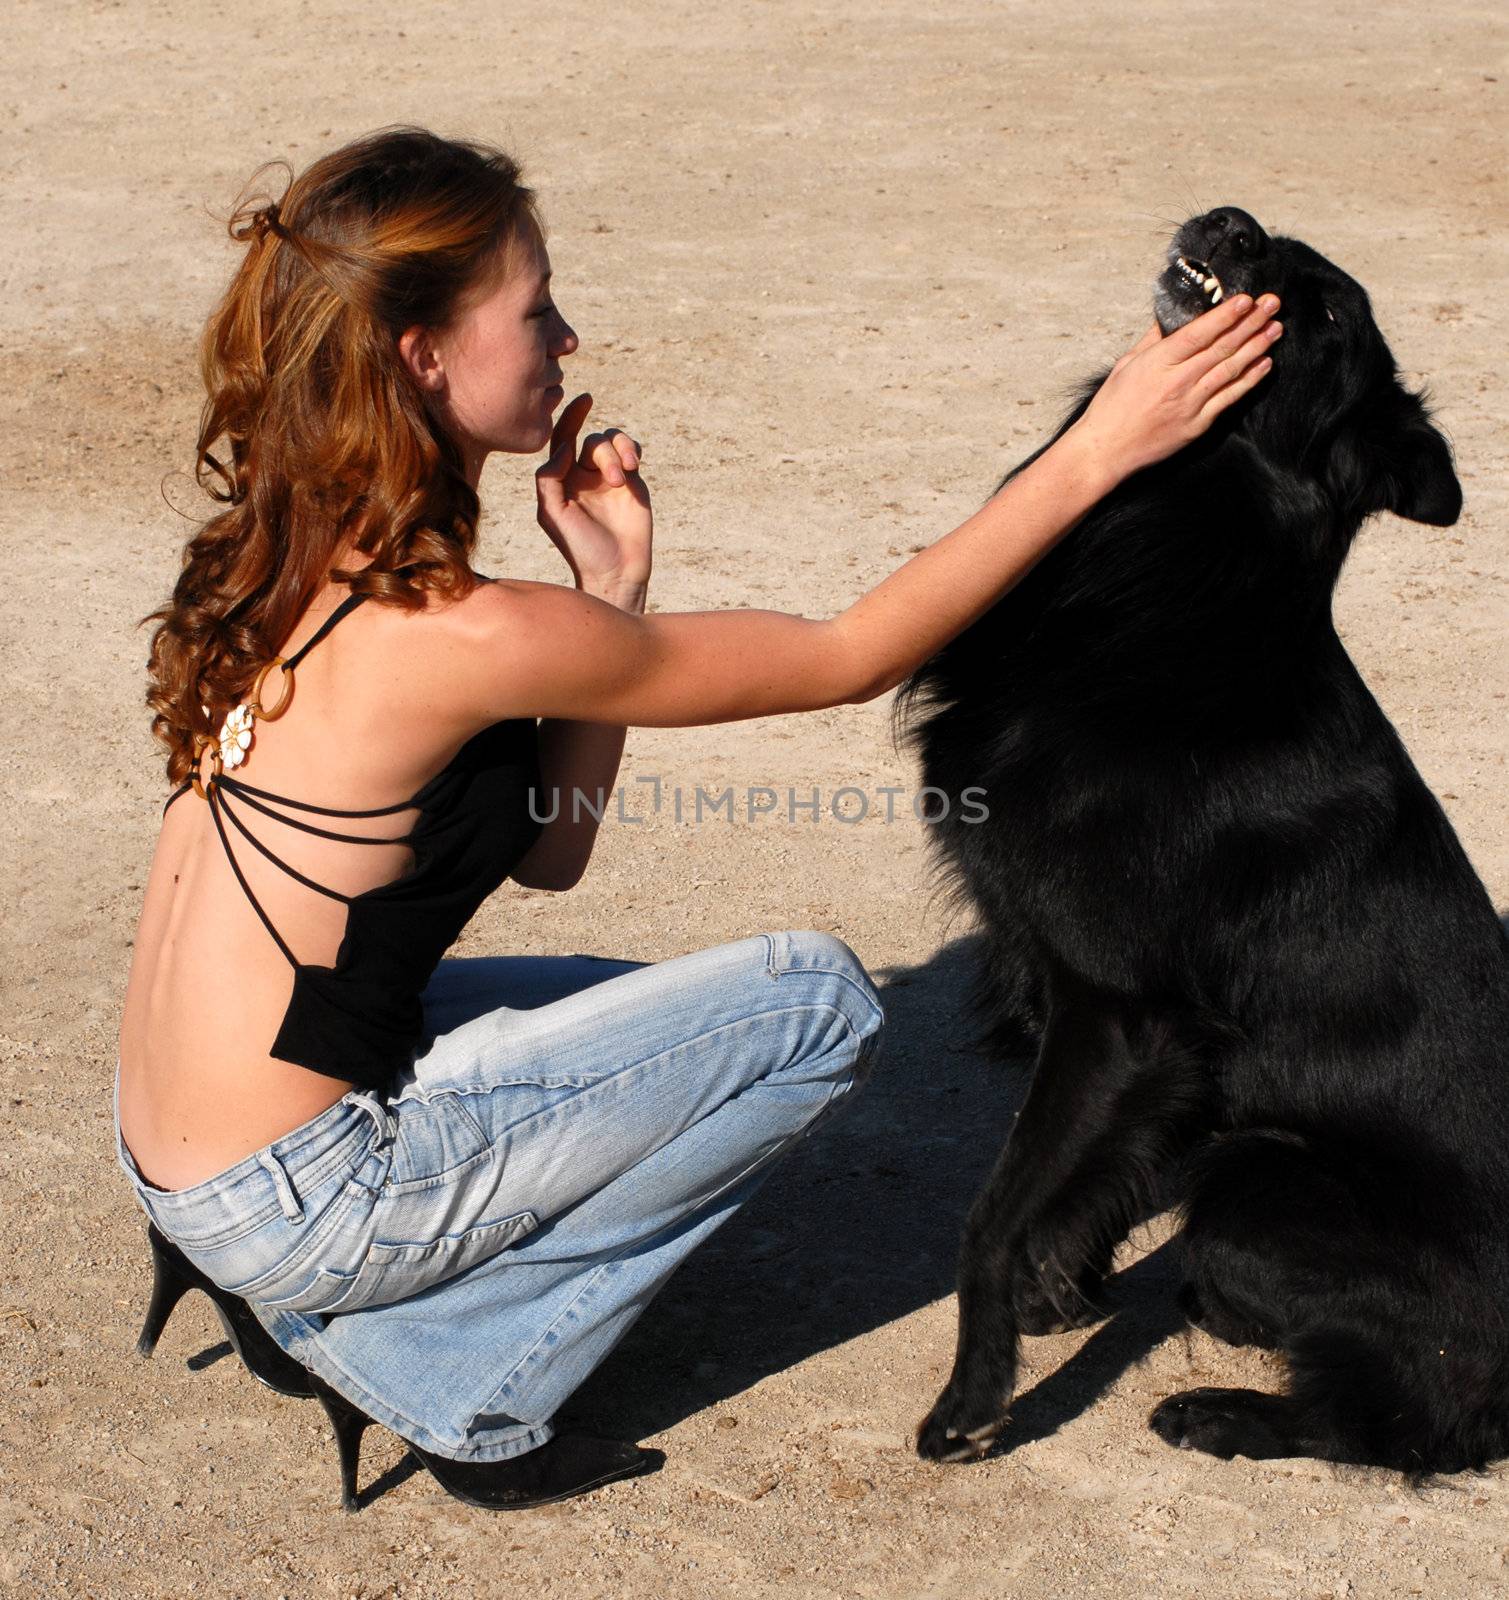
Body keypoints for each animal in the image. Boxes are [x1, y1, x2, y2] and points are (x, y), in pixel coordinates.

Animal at [896, 209, 1509, 1472]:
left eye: (1329, 311)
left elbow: (992, 1215)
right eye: (1276, 240)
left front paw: (975, 1396)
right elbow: (1103, 1176)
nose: (1230, 225)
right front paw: (1062, 1288)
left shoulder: (1115, 1010)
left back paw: (1223, 1411)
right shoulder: (1125, 1031)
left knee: (1421, 1417)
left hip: (1256, 1180)